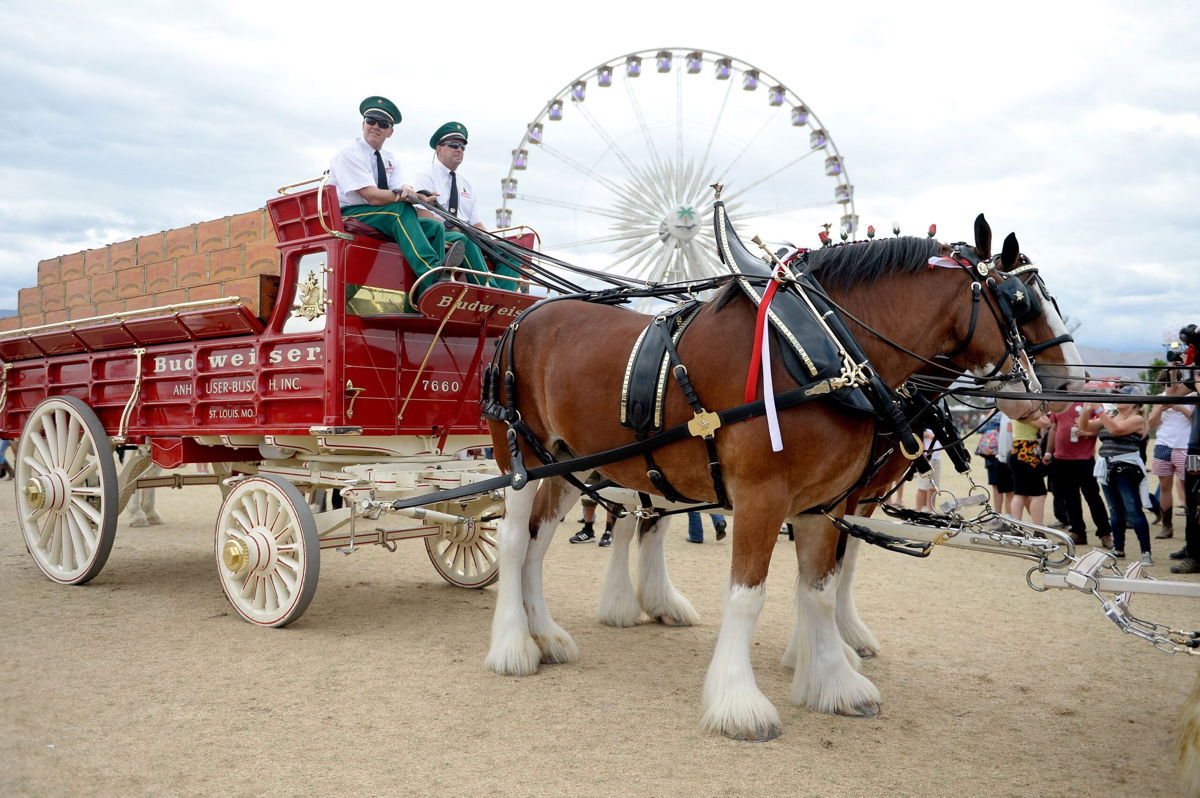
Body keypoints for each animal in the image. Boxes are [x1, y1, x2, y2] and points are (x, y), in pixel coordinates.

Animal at [482, 214, 1084, 739]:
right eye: (1021, 300)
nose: (1072, 385)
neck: (828, 355)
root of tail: (522, 319)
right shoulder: (762, 498)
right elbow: (749, 595)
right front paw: (738, 702)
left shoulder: (828, 503)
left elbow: (821, 587)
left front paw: (834, 679)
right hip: (522, 461)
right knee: (514, 540)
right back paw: (514, 645)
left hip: (569, 466)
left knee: (542, 541)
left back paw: (547, 635)